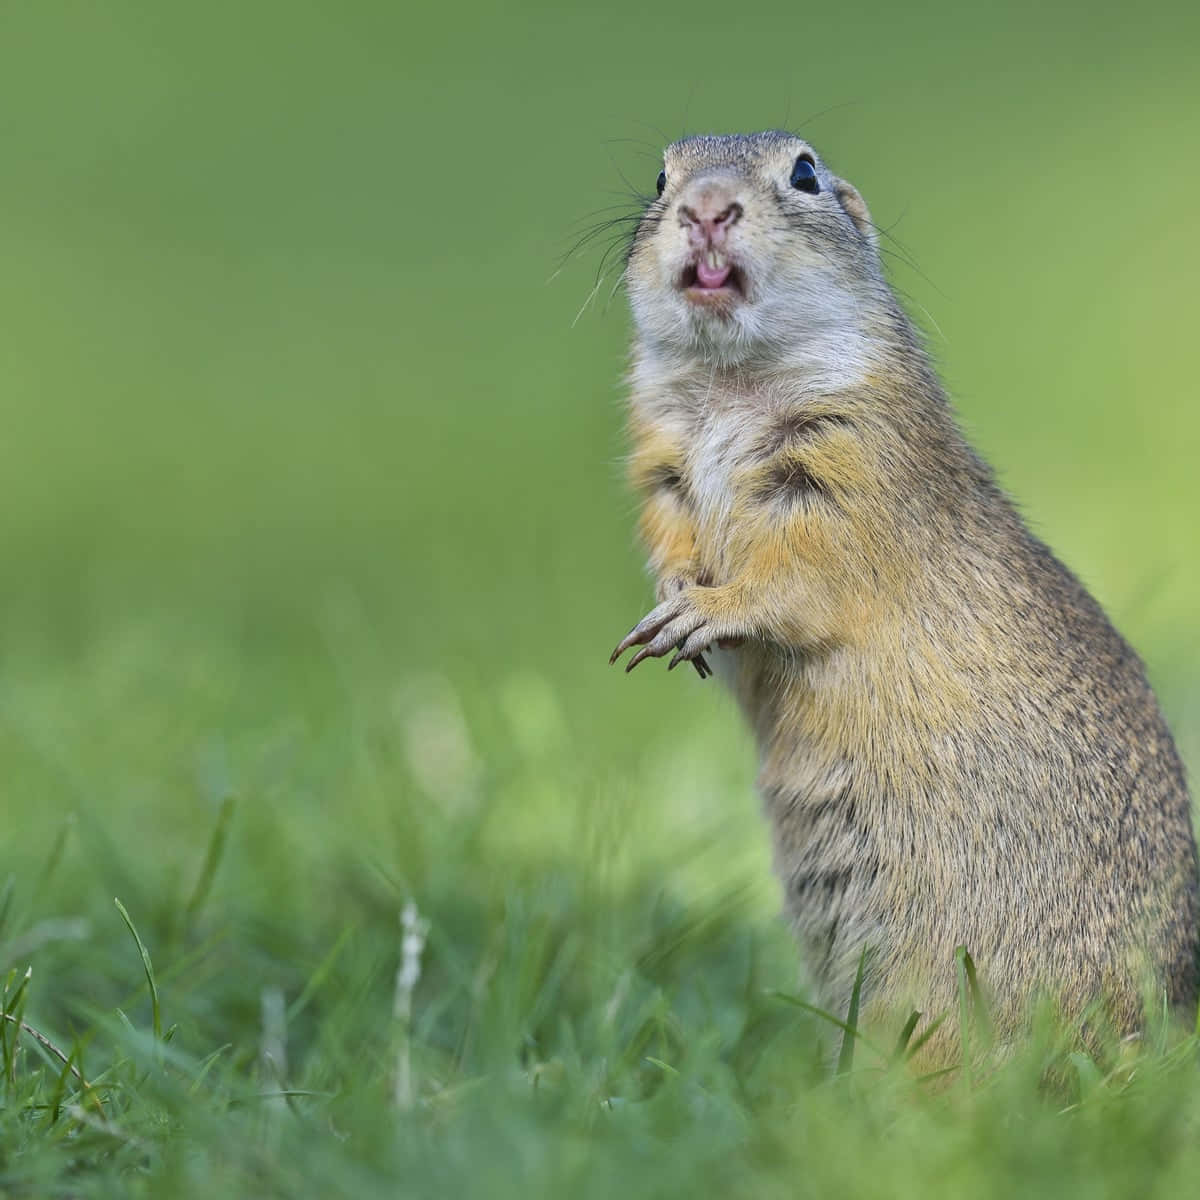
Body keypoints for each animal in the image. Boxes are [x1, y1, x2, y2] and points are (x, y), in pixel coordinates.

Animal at [608, 130, 1198, 1063]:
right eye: (662, 176)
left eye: (804, 172)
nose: (705, 209)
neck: (730, 385)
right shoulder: (659, 466)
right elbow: (672, 542)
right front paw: (669, 601)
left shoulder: (853, 472)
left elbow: (795, 578)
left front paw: (702, 612)